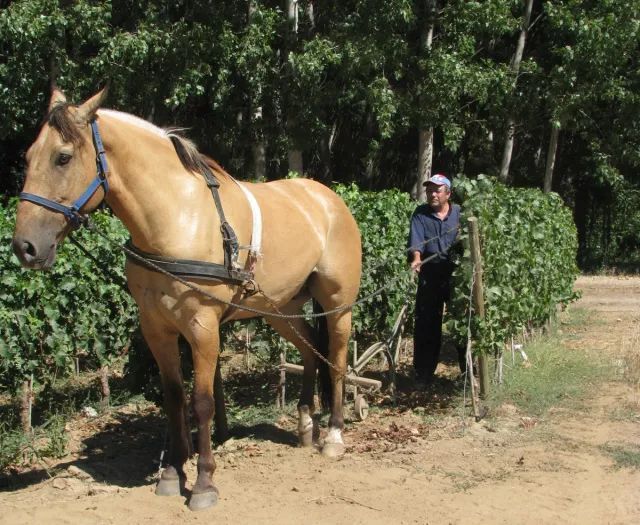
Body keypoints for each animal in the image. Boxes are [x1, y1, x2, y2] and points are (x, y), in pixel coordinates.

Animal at [11, 88, 360, 510]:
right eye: (29, 156)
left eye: (62, 157)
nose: (24, 247)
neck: (176, 218)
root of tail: (328, 199)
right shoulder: (156, 327)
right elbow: (175, 399)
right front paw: (172, 473)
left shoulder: (202, 327)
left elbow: (202, 402)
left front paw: (205, 482)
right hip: (281, 308)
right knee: (310, 350)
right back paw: (306, 424)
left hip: (338, 305)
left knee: (337, 360)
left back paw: (334, 436)